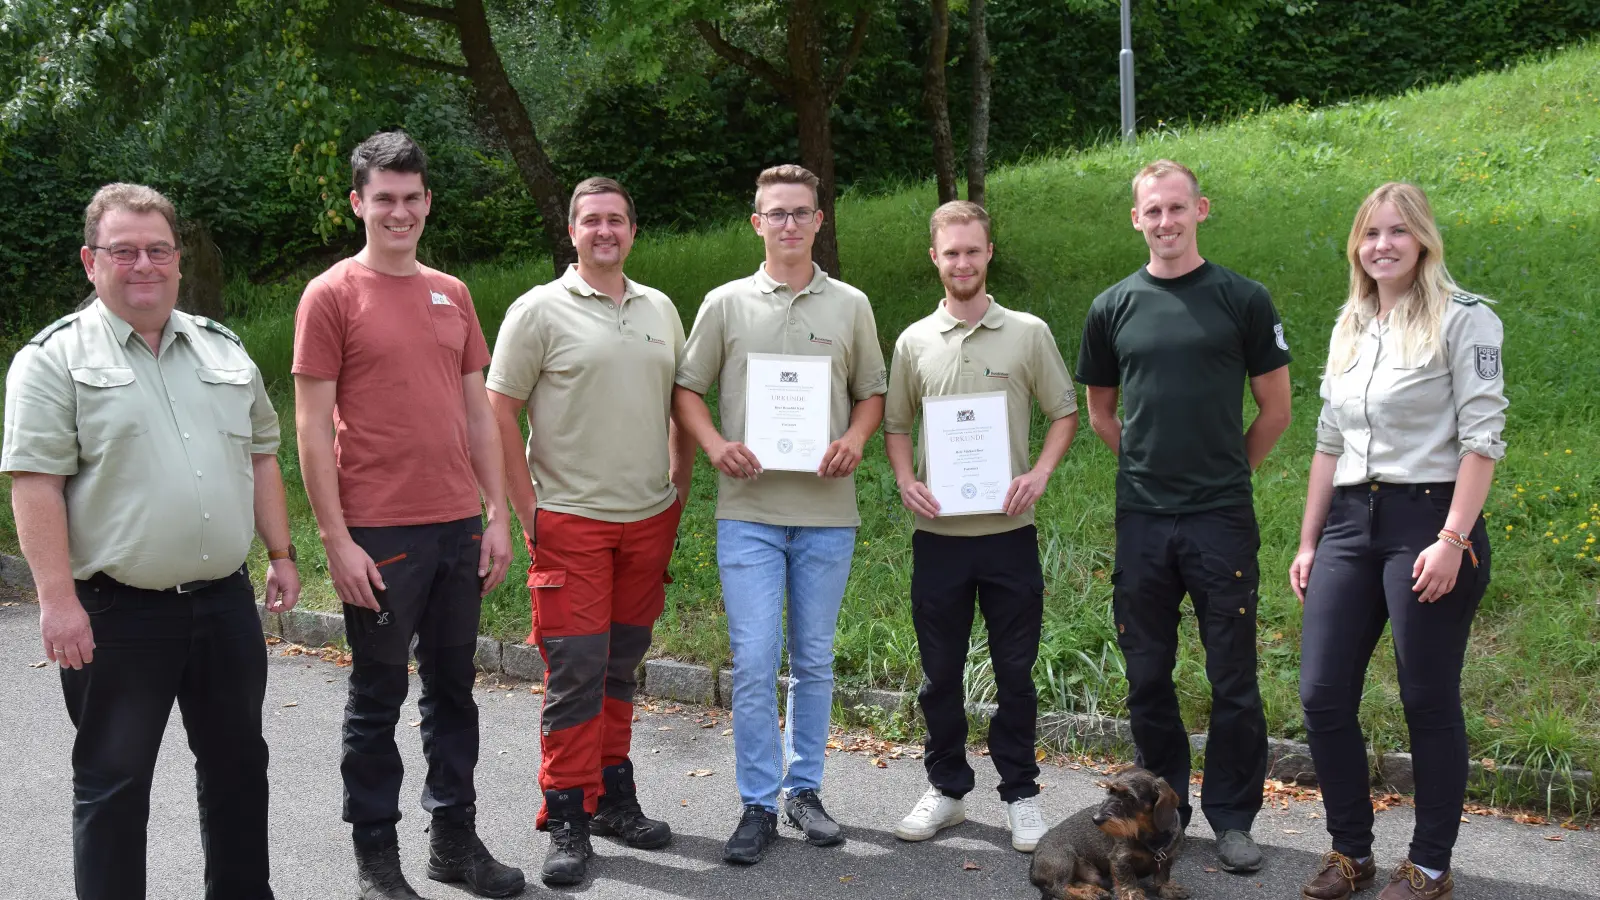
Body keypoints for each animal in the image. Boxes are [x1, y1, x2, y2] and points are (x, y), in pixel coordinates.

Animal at [1024, 762, 1190, 896]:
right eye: (1110, 791)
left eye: (1129, 796)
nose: (1096, 819)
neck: (1148, 836)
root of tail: (1033, 869)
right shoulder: (1120, 859)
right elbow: (1128, 884)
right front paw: (1133, 895)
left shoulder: (1167, 857)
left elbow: (1163, 875)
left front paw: (1167, 889)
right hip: (1065, 858)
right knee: (1060, 889)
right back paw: (1086, 894)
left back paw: (1094, 890)